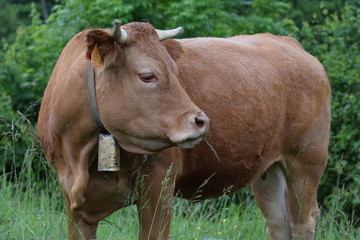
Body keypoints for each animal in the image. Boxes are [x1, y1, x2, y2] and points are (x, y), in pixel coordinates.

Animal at [38, 21, 330, 240]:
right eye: (147, 75)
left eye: (175, 70)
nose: (201, 121)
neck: (80, 156)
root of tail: (288, 43)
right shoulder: (72, 200)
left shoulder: (159, 184)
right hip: (268, 171)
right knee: (279, 223)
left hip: (306, 162)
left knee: (302, 222)